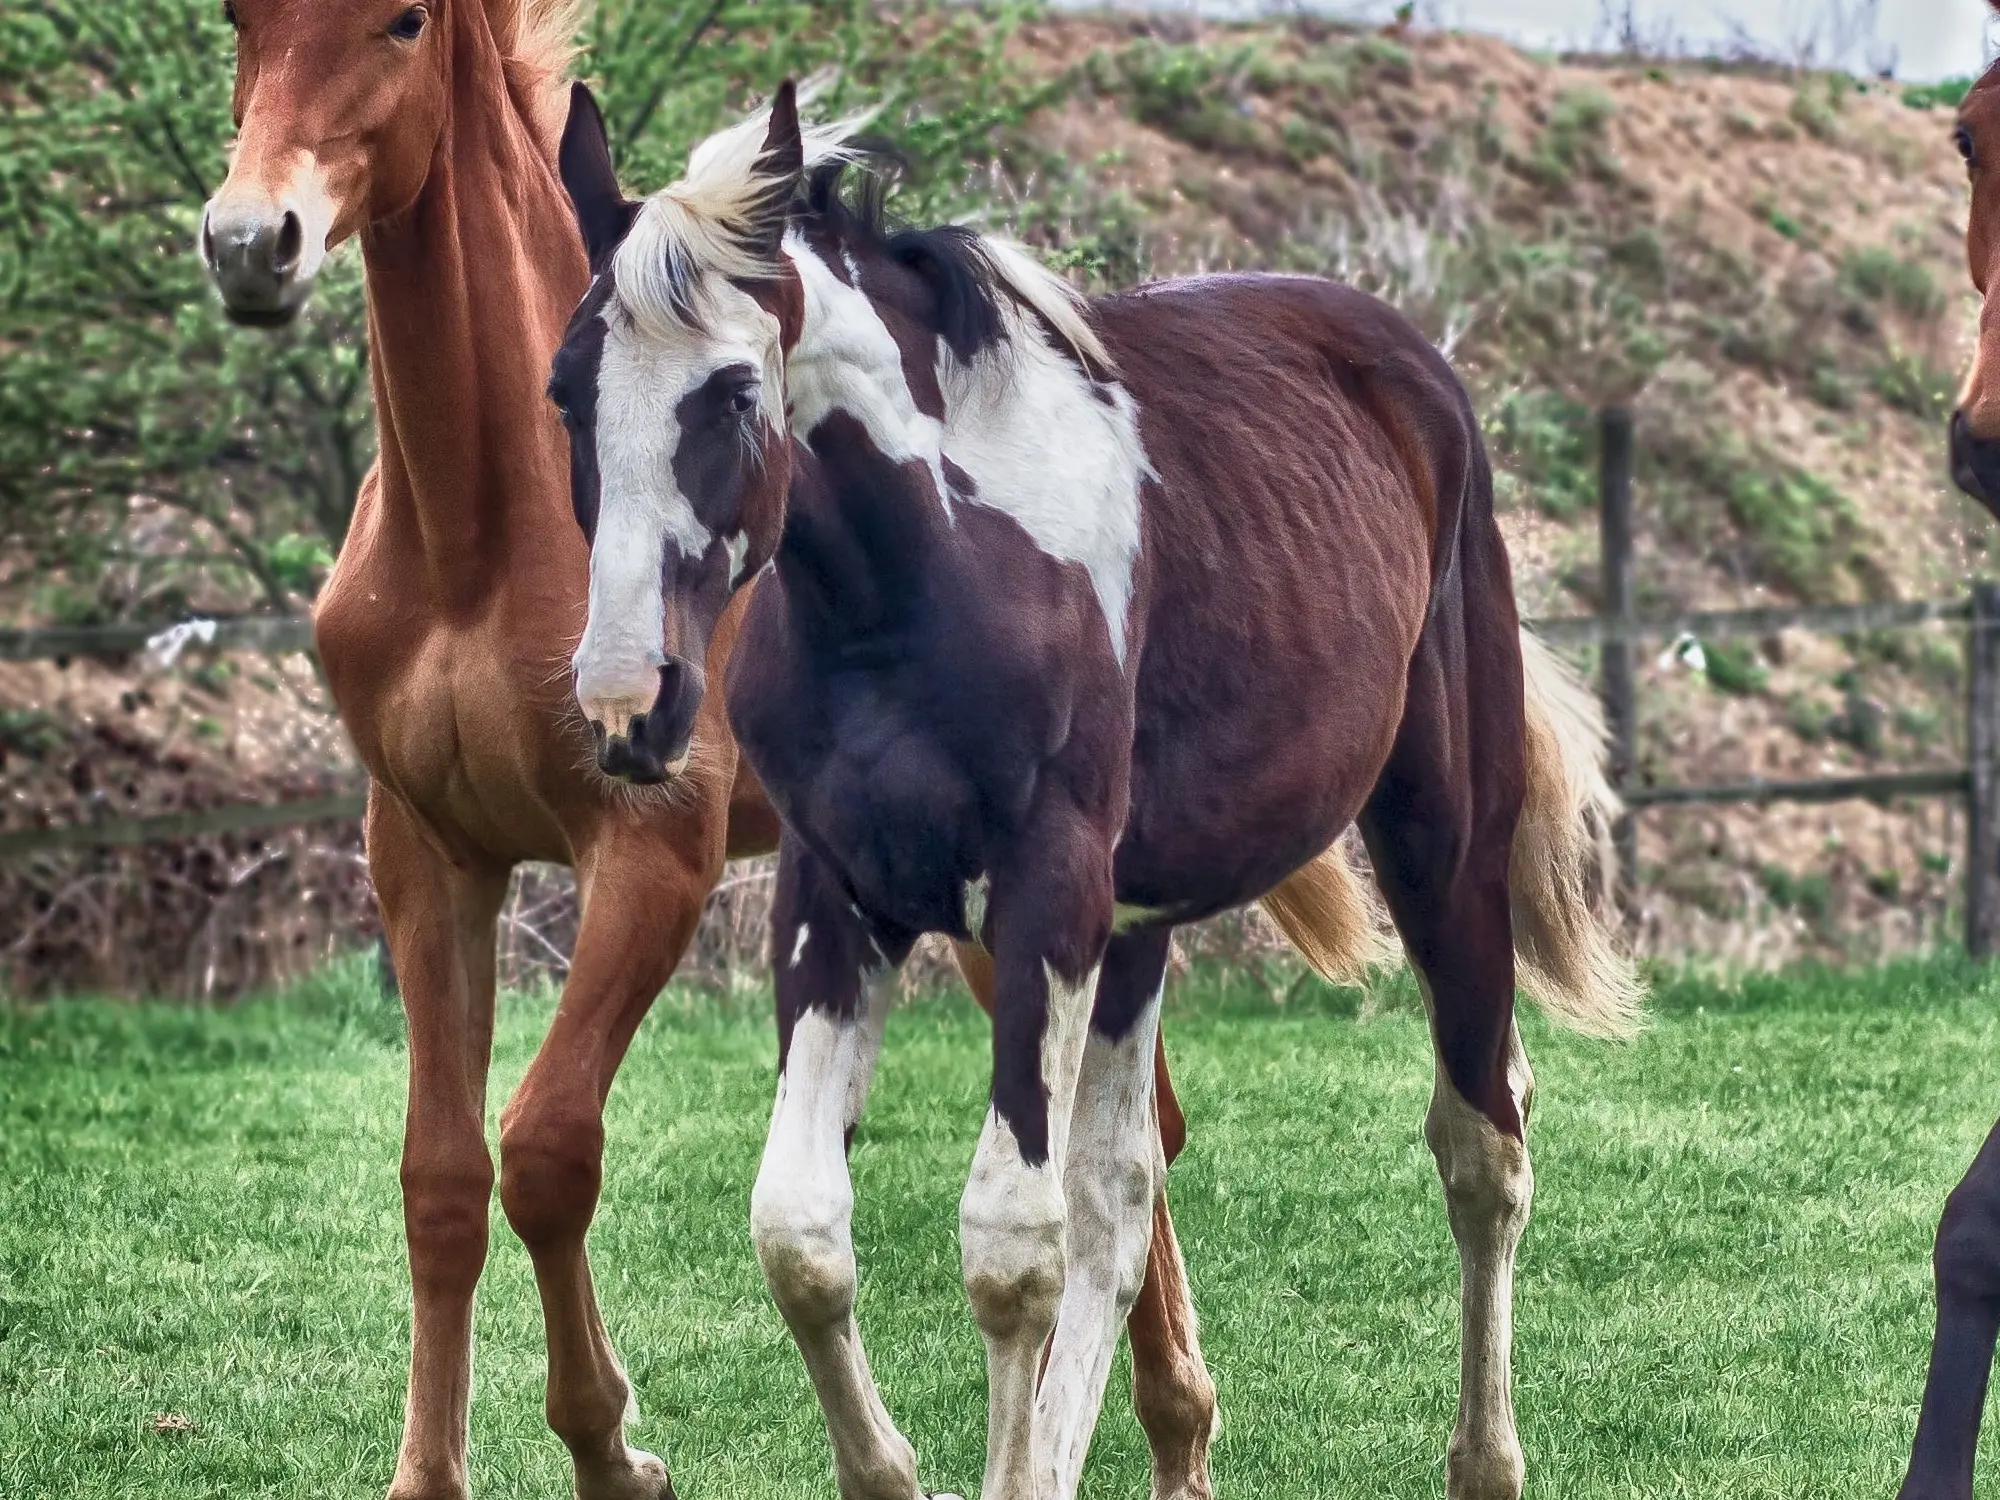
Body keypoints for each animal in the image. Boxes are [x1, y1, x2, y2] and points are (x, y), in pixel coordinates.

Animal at [195, 5, 1368, 1496]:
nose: (252, 241)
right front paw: (432, 1472)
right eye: (238, 23)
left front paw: (612, 1449)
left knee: (1129, 1139)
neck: (478, 538)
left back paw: (1169, 1434)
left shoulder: (652, 851)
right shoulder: (423, 850)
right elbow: (444, 1176)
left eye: (402, 23)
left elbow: (549, 1149)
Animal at [552, 88, 1640, 1500]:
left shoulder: (1045, 894)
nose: (627, 704)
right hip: (1134, 929)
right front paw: (894, 1468)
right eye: (565, 393)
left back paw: (1485, 1457)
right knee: (1123, 1196)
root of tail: (1412, 364)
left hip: (1438, 848)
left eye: (733, 390)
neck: (918, 584)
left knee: (1482, 1141)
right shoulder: (836, 893)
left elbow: (1010, 1245)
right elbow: (803, 1230)